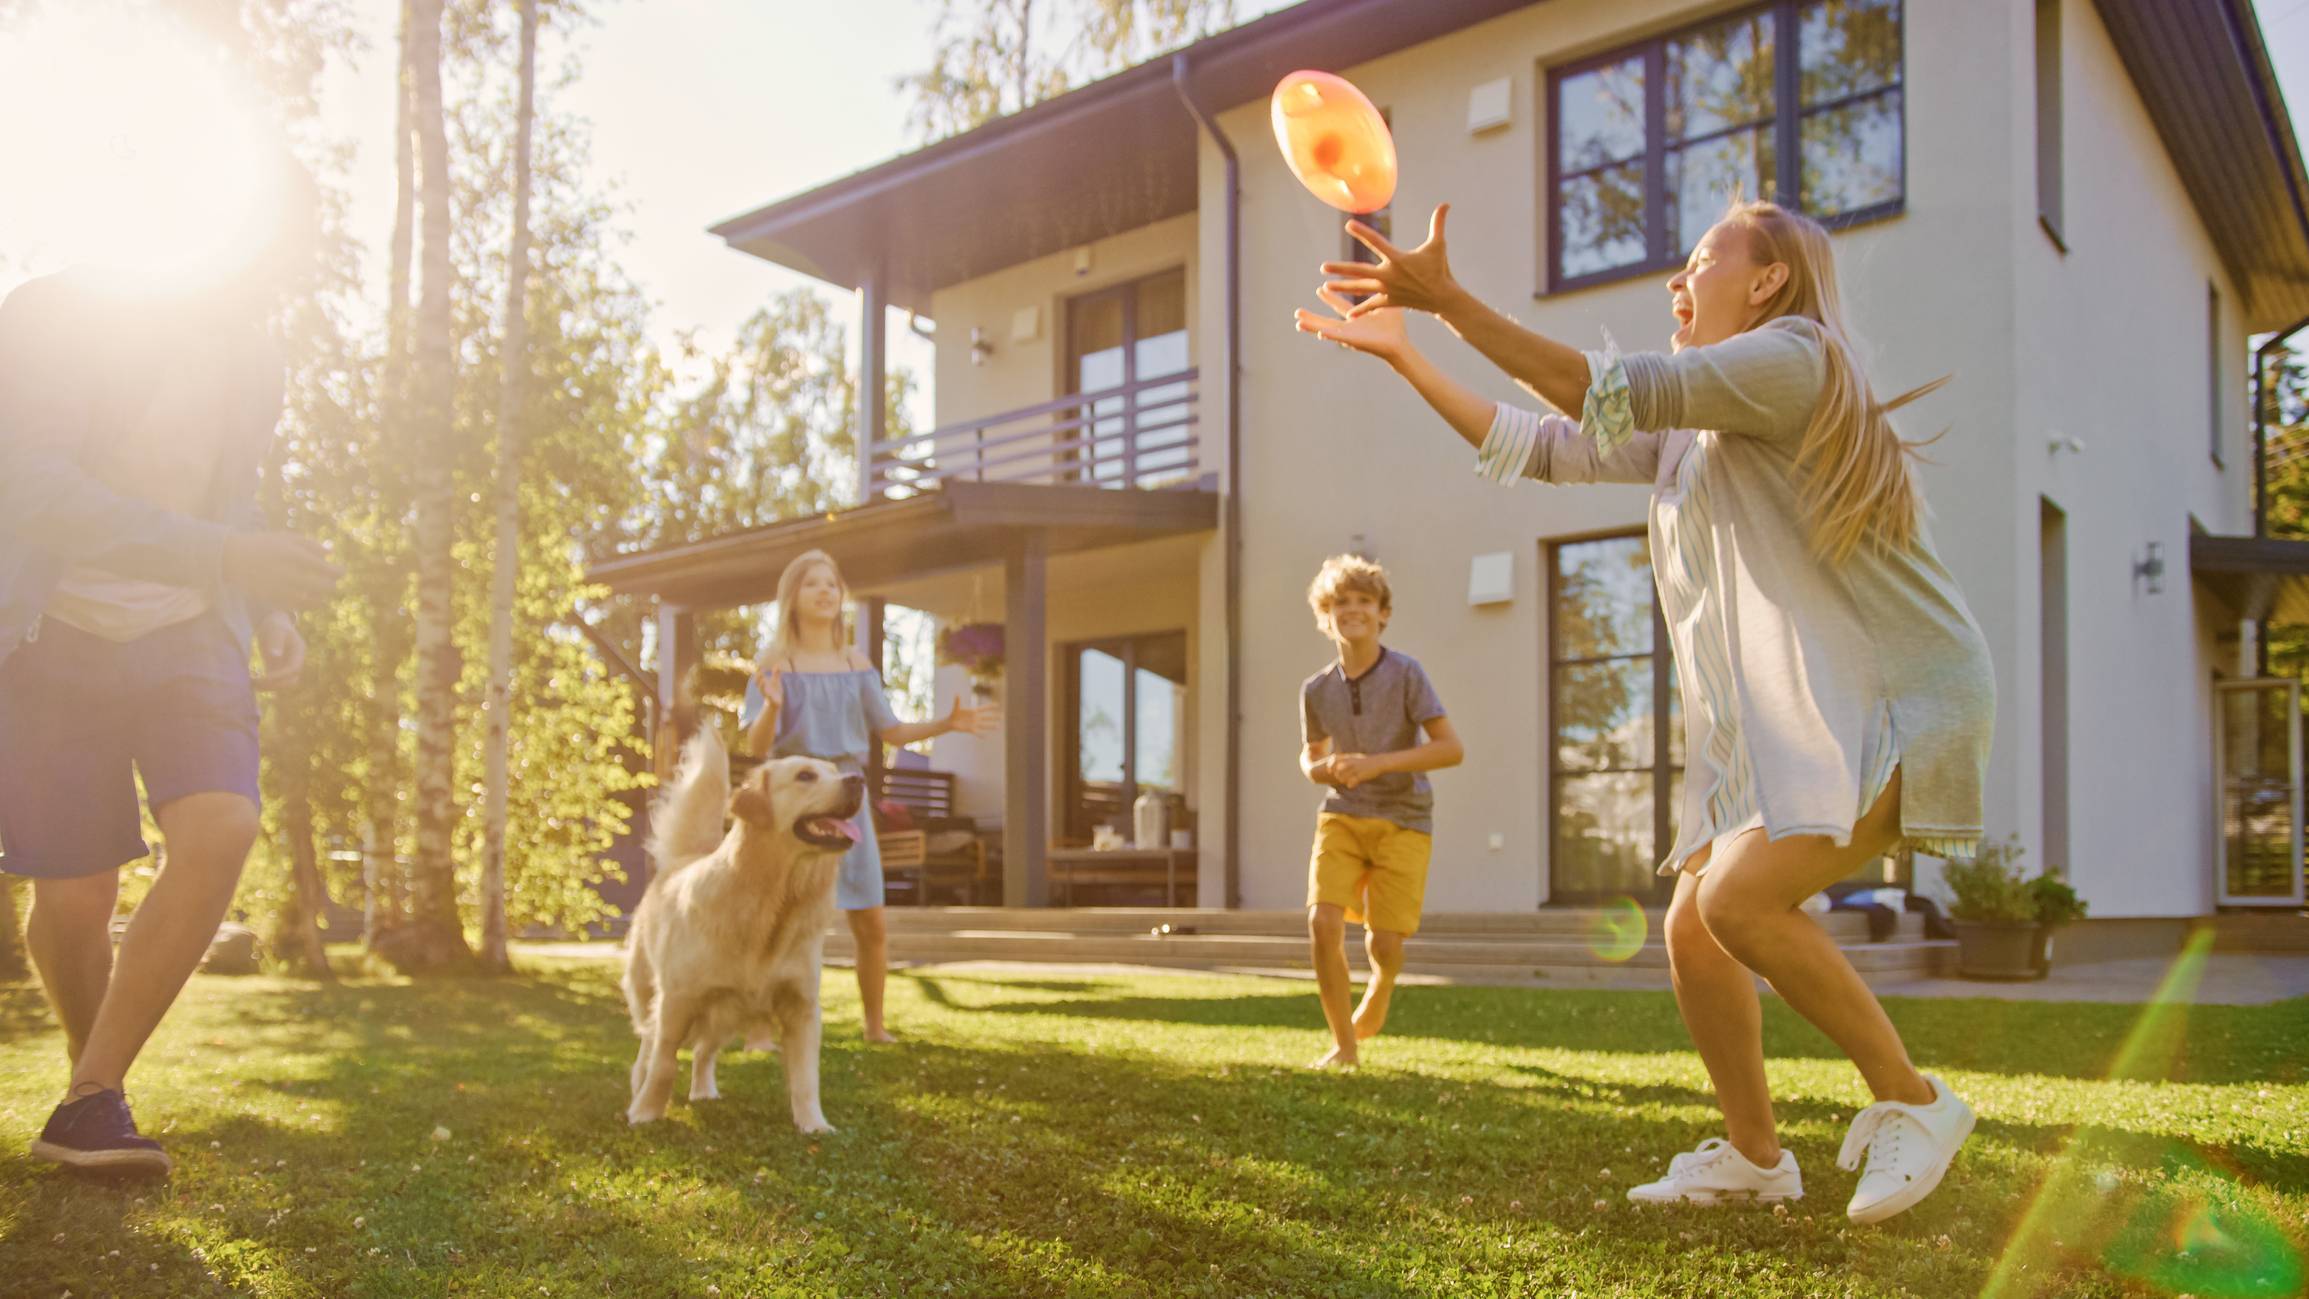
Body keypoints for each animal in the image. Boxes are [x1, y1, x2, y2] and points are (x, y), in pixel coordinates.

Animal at [618, 729, 863, 1135]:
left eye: (834, 770)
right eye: (805, 776)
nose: (858, 781)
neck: (775, 902)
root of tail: (681, 860)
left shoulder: (802, 1007)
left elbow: (806, 1077)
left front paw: (813, 1124)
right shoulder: (677, 1000)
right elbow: (664, 1063)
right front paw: (646, 1112)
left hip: (726, 1011)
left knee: (704, 1050)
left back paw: (703, 1091)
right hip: (650, 992)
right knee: (647, 1044)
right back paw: (639, 1087)